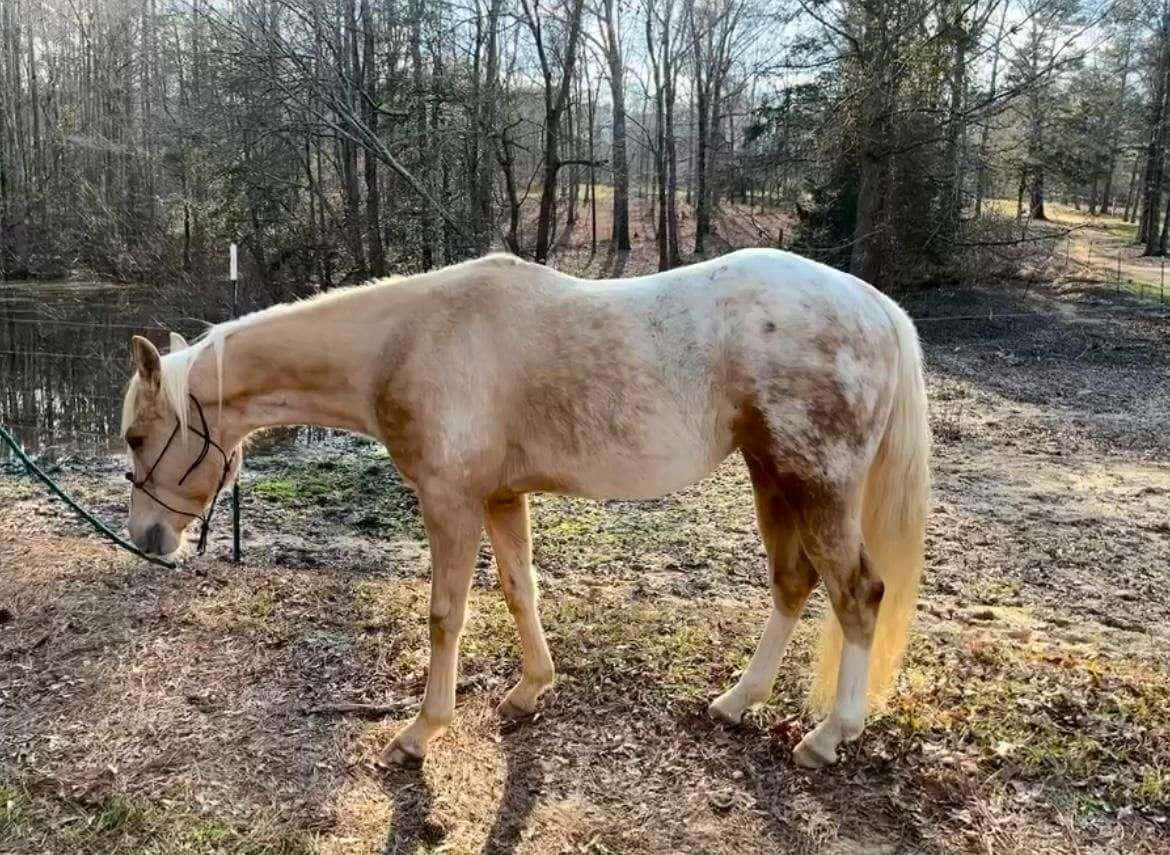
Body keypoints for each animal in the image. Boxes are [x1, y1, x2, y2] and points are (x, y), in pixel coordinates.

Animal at [119, 248, 929, 769]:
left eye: (135, 435)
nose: (147, 538)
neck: (406, 341)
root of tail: (874, 305)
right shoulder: (502, 497)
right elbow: (519, 590)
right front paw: (530, 690)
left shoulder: (450, 501)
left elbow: (446, 613)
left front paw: (421, 732)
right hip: (774, 478)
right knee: (793, 583)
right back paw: (736, 701)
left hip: (818, 485)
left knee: (858, 594)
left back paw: (829, 737)